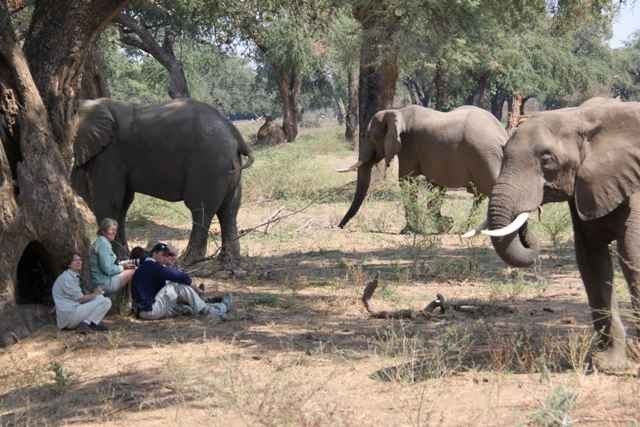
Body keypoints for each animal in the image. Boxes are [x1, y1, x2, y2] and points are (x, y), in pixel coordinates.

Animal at [484, 97, 640, 372]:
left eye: (547, 159)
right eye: (502, 152)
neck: (581, 117)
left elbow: (632, 255)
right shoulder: (585, 188)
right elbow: (591, 259)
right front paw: (608, 364)